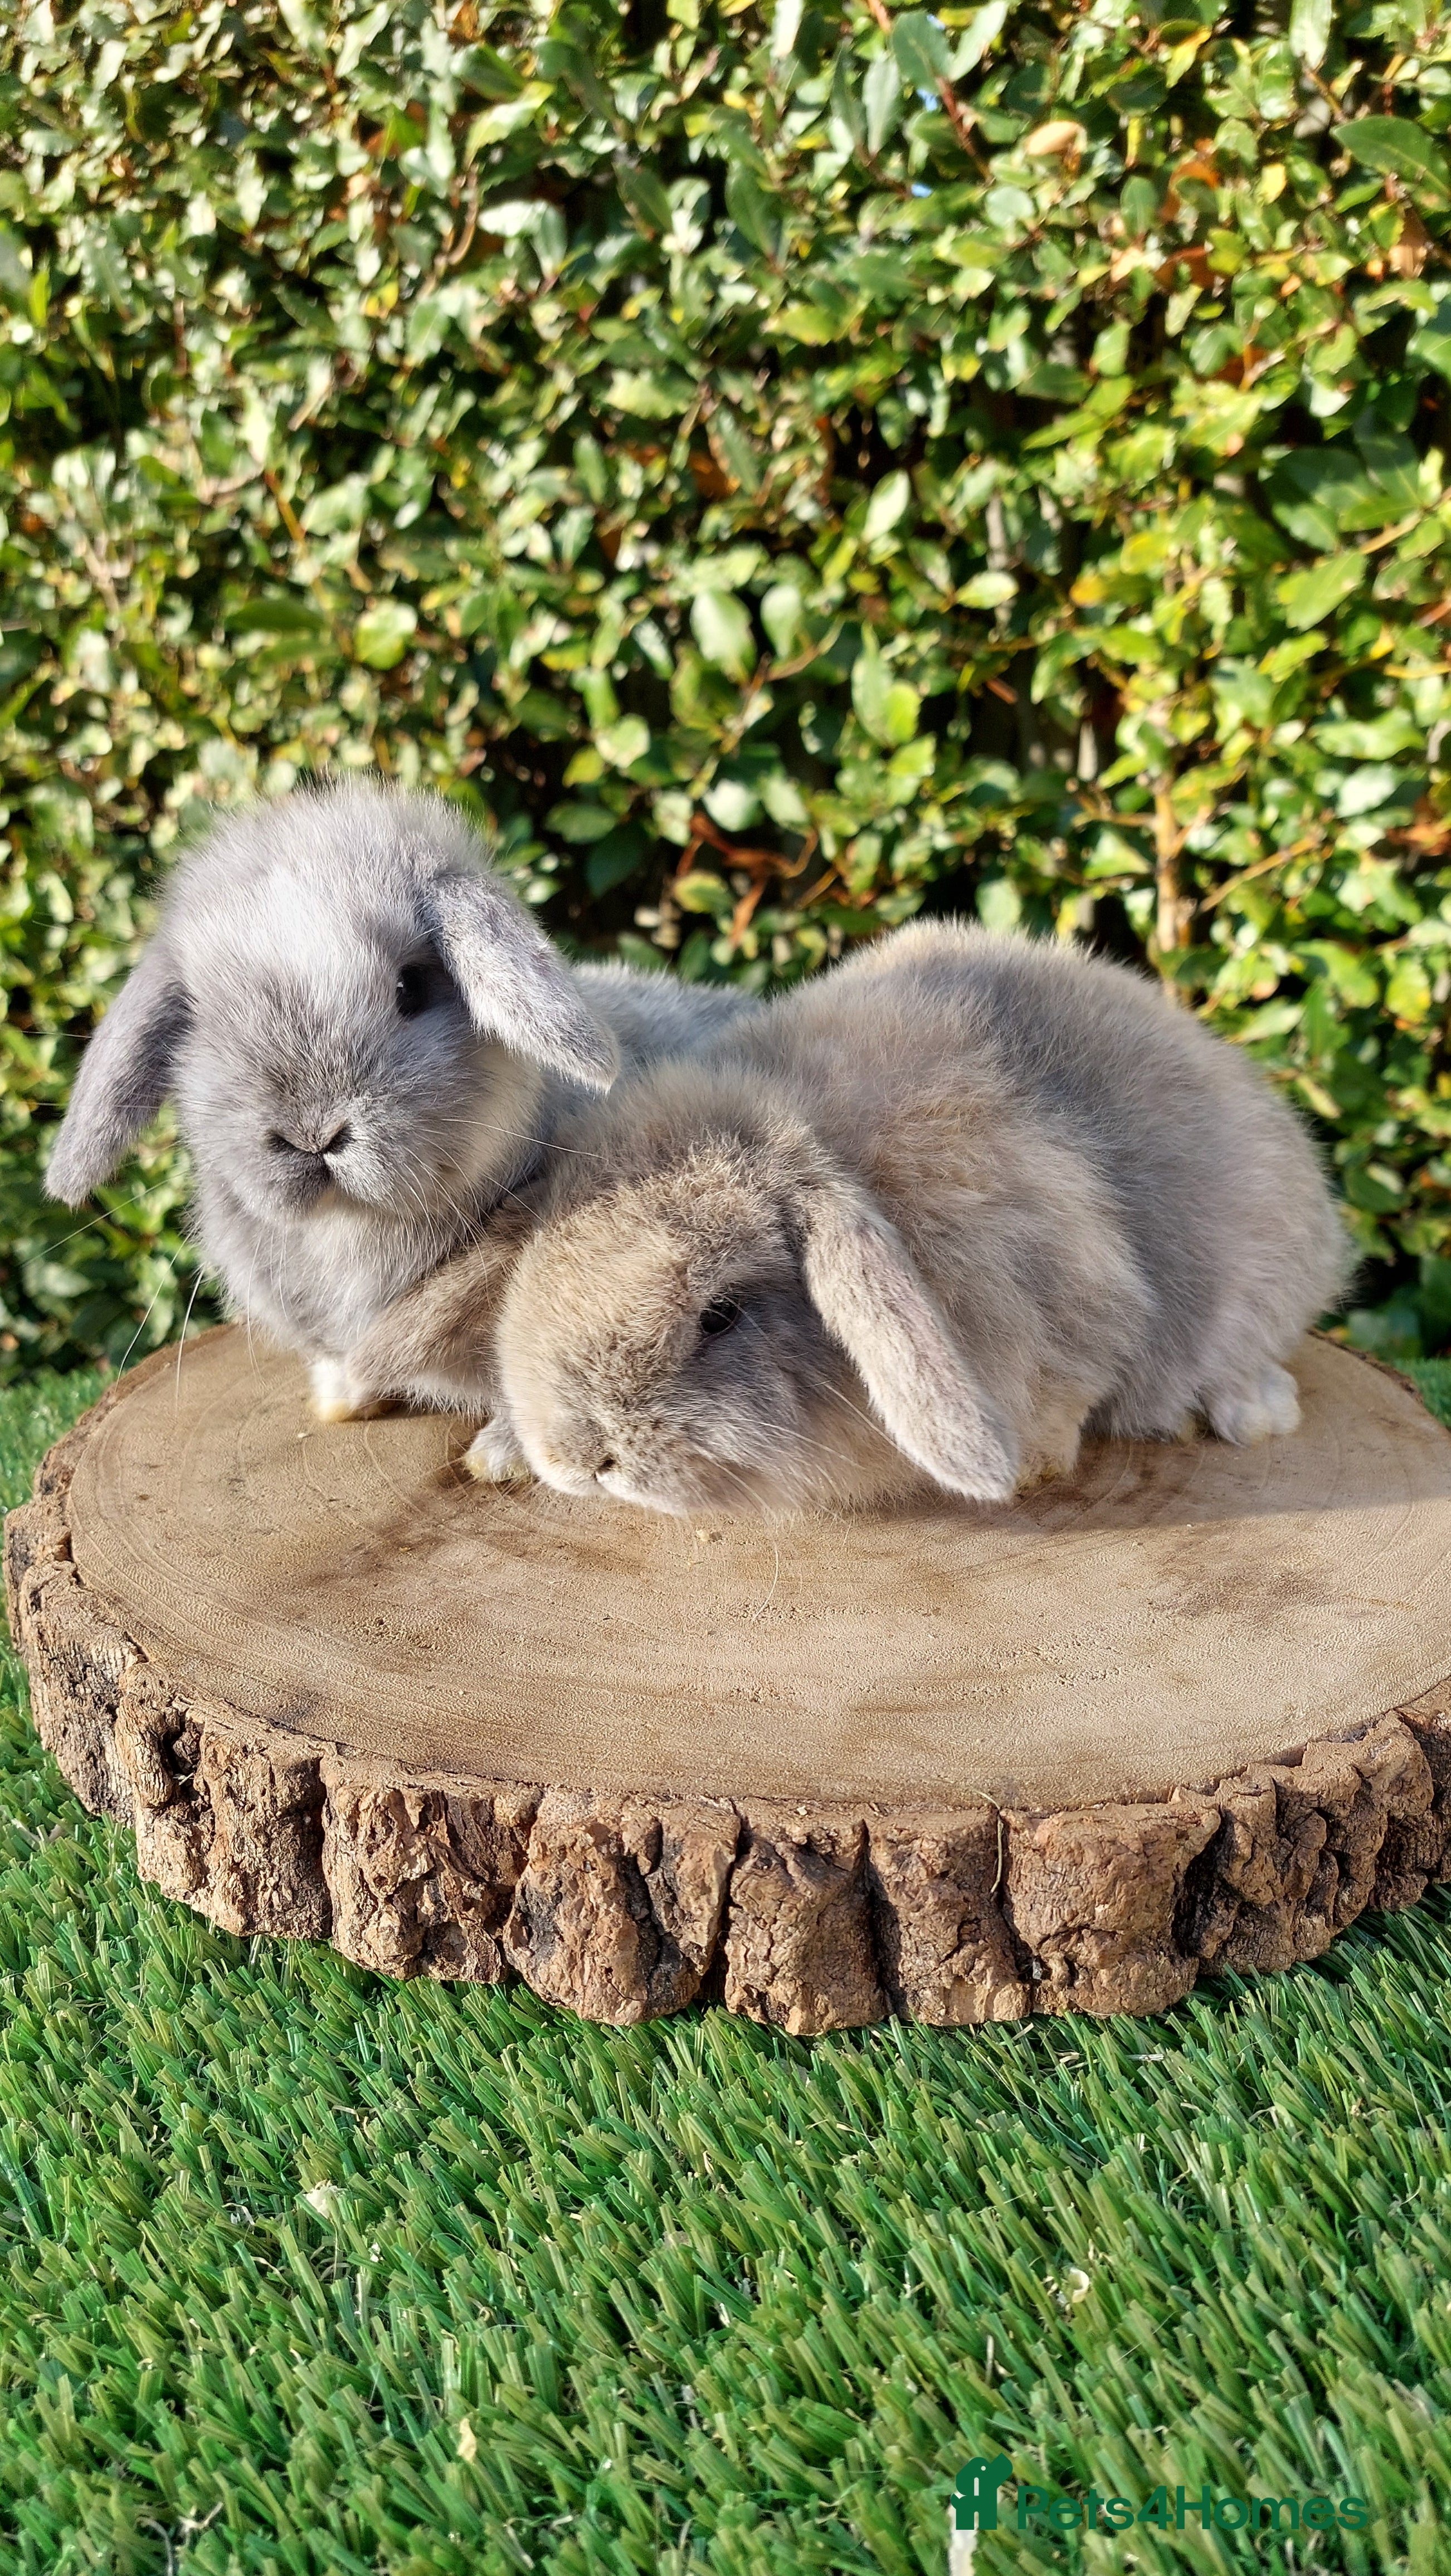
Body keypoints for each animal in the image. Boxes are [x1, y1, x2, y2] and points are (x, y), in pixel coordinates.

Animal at [44, 778, 755, 1421]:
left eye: (410, 987)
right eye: (200, 1021)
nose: (313, 1135)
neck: (351, 1229)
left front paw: (498, 1451)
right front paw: (338, 1401)